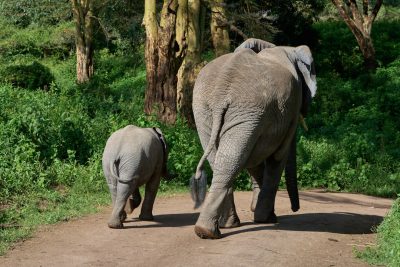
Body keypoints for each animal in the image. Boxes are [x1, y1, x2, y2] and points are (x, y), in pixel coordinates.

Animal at [192, 38, 318, 240]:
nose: (295, 209)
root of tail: (221, 90)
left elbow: (253, 158)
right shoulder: (291, 106)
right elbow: (277, 157)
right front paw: (266, 219)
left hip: (208, 110)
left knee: (224, 159)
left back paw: (216, 228)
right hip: (244, 108)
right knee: (233, 158)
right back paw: (212, 231)